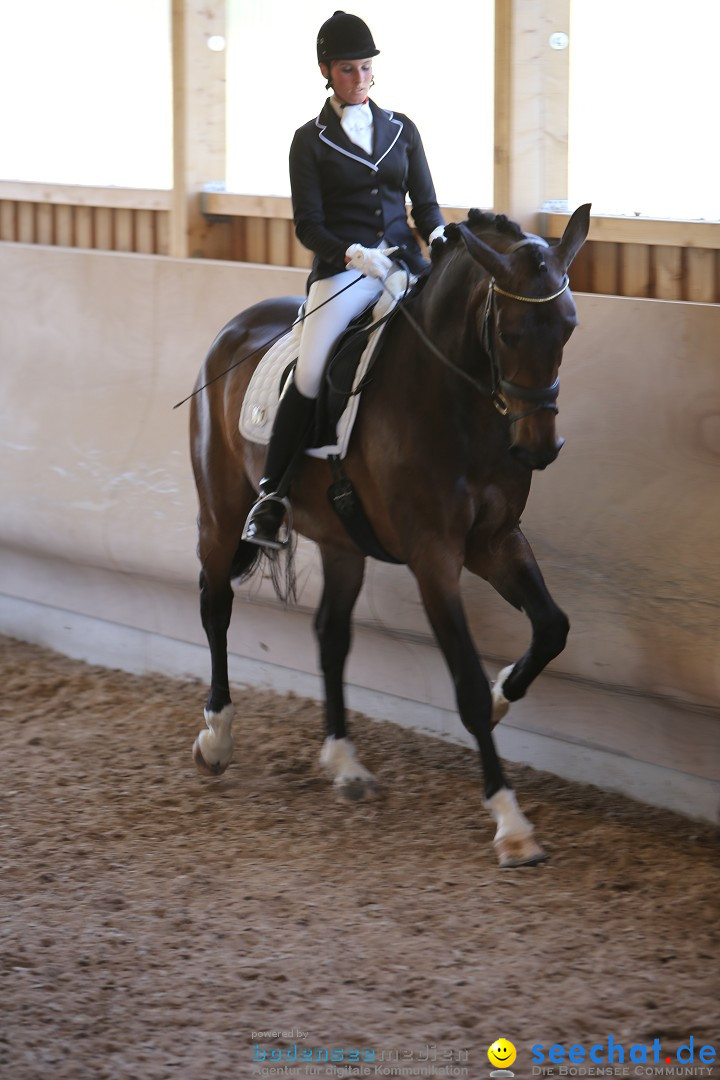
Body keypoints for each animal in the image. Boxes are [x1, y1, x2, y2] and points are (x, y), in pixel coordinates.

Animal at [189, 204, 591, 868]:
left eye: (567, 327)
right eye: (509, 334)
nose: (539, 448)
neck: (457, 403)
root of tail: (235, 327)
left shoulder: (496, 542)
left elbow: (552, 627)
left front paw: (504, 693)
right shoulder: (434, 557)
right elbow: (465, 686)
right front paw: (511, 823)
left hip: (342, 542)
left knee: (330, 636)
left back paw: (344, 762)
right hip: (221, 511)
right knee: (216, 604)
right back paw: (218, 737)